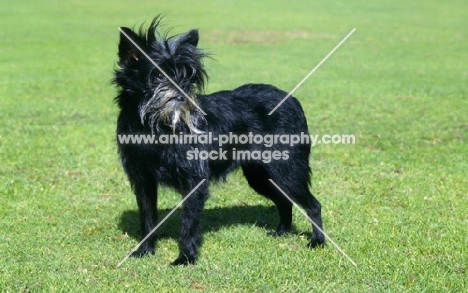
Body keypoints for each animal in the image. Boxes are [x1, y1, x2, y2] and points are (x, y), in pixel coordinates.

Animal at [114, 17, 326, 264]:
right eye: (158, 76)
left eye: (187, 77)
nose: (183, 90)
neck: (155, 125)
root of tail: (292, 100)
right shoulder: (143, 182)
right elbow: (147, 218)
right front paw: (145, 251)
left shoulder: (194, 180)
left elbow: (189, 222)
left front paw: (185, 257)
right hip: (261, 176)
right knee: (285, 201)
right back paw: (281, 232)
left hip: (287, 172)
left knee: (313, 205)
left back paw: (317, 241)